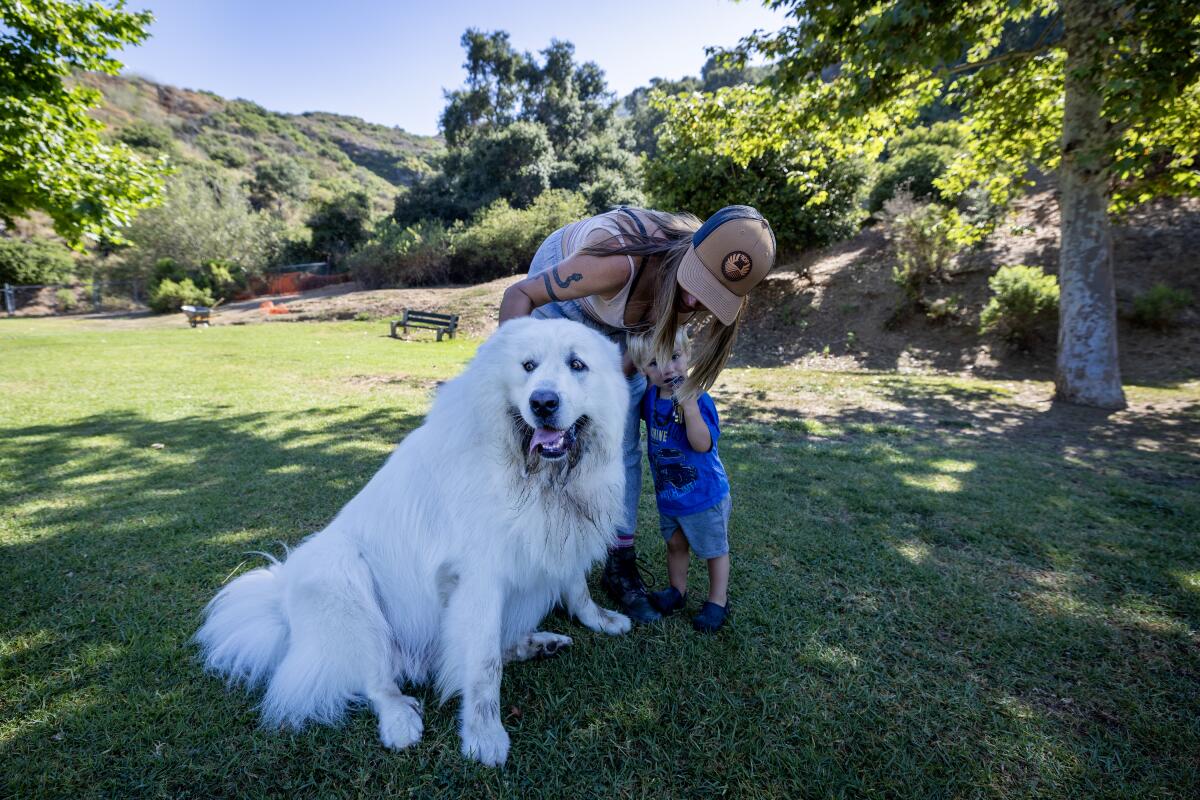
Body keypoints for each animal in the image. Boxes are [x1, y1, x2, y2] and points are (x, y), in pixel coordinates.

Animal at [194, 316, 628, 762]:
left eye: (577, 364)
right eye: (528, 366)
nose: (542, 402)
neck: (533, 473)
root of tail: (281, 611)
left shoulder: (559, 541)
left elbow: (576, 590)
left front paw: (602, 620)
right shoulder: (481, 580)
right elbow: (483, 666)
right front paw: (484, 735)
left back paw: (538, 644)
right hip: (344, 580)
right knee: (379, 680)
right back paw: (400, 720)